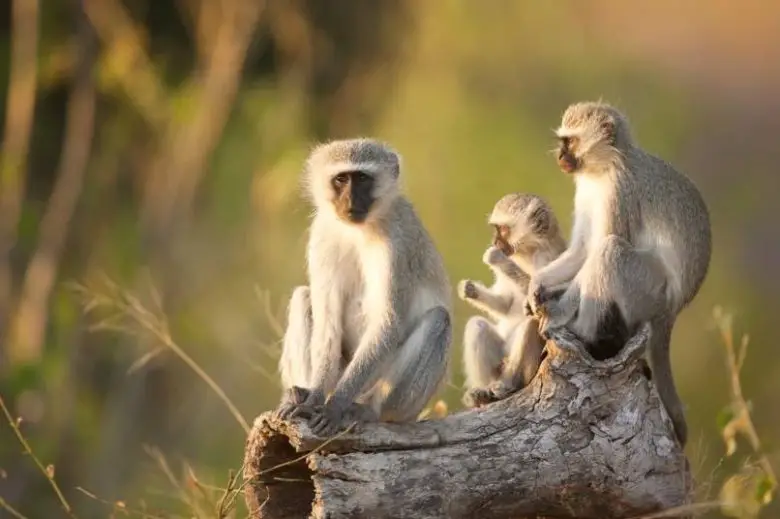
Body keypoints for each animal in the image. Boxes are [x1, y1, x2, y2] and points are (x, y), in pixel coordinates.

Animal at [274, 136, 450, 436]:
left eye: (363, 179)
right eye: (341, 179)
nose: (350, 200)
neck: (357, 230)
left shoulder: (397, 243)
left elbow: (388, 324)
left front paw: (334, 406)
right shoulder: (322, 234)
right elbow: (328, 325)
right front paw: (314, 399)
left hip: (395, 397)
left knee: (439, 319)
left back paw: (369, 410)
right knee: (303, 296)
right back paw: (300, 392)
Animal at [454, 193, 564, 408]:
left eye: (503, 229)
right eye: (496, 229)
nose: (495, 242)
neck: (527, 253)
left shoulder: (548, 258)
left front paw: (494, 257)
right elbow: (505, 304)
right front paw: (469, 289)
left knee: (531, 325)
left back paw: (509, 385)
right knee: (477, 325)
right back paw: (481, 393)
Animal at [524, 101, 712, 446]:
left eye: (570, 142)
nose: (560, 156)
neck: (604, 168)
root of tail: (673, 309)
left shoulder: (619, 192)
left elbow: (598, 249)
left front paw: (558, 312)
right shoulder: (586, 190)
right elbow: (582, 249)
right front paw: (537, 285)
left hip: (649, 291)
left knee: (610, 251)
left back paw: (582, 331)